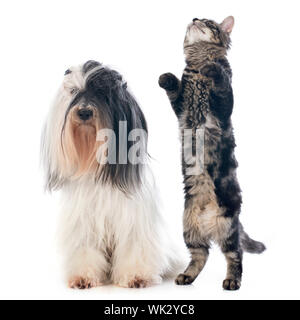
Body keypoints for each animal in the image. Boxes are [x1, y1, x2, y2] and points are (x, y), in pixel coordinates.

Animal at [41, 61, 179, 288]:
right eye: (74, 92)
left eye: (102, 92)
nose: (84, 112)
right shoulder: (84, 224)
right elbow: (85, 249)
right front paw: (83, 277)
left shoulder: (133, 220)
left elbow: (133, 246)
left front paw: (136, 275)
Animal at [158, 15, 266, 290]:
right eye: (197, 18)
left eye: (208, 22)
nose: (195, 18)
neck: (198, 66)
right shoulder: (181, 108)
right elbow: (174, 89)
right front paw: (166, 78)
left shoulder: (224, 103)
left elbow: (221, 82)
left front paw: (213, 69)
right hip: (189, 229)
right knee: (201, 255)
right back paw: (186, 276)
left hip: (227, 227)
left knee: (235, 254)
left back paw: (232, 281)